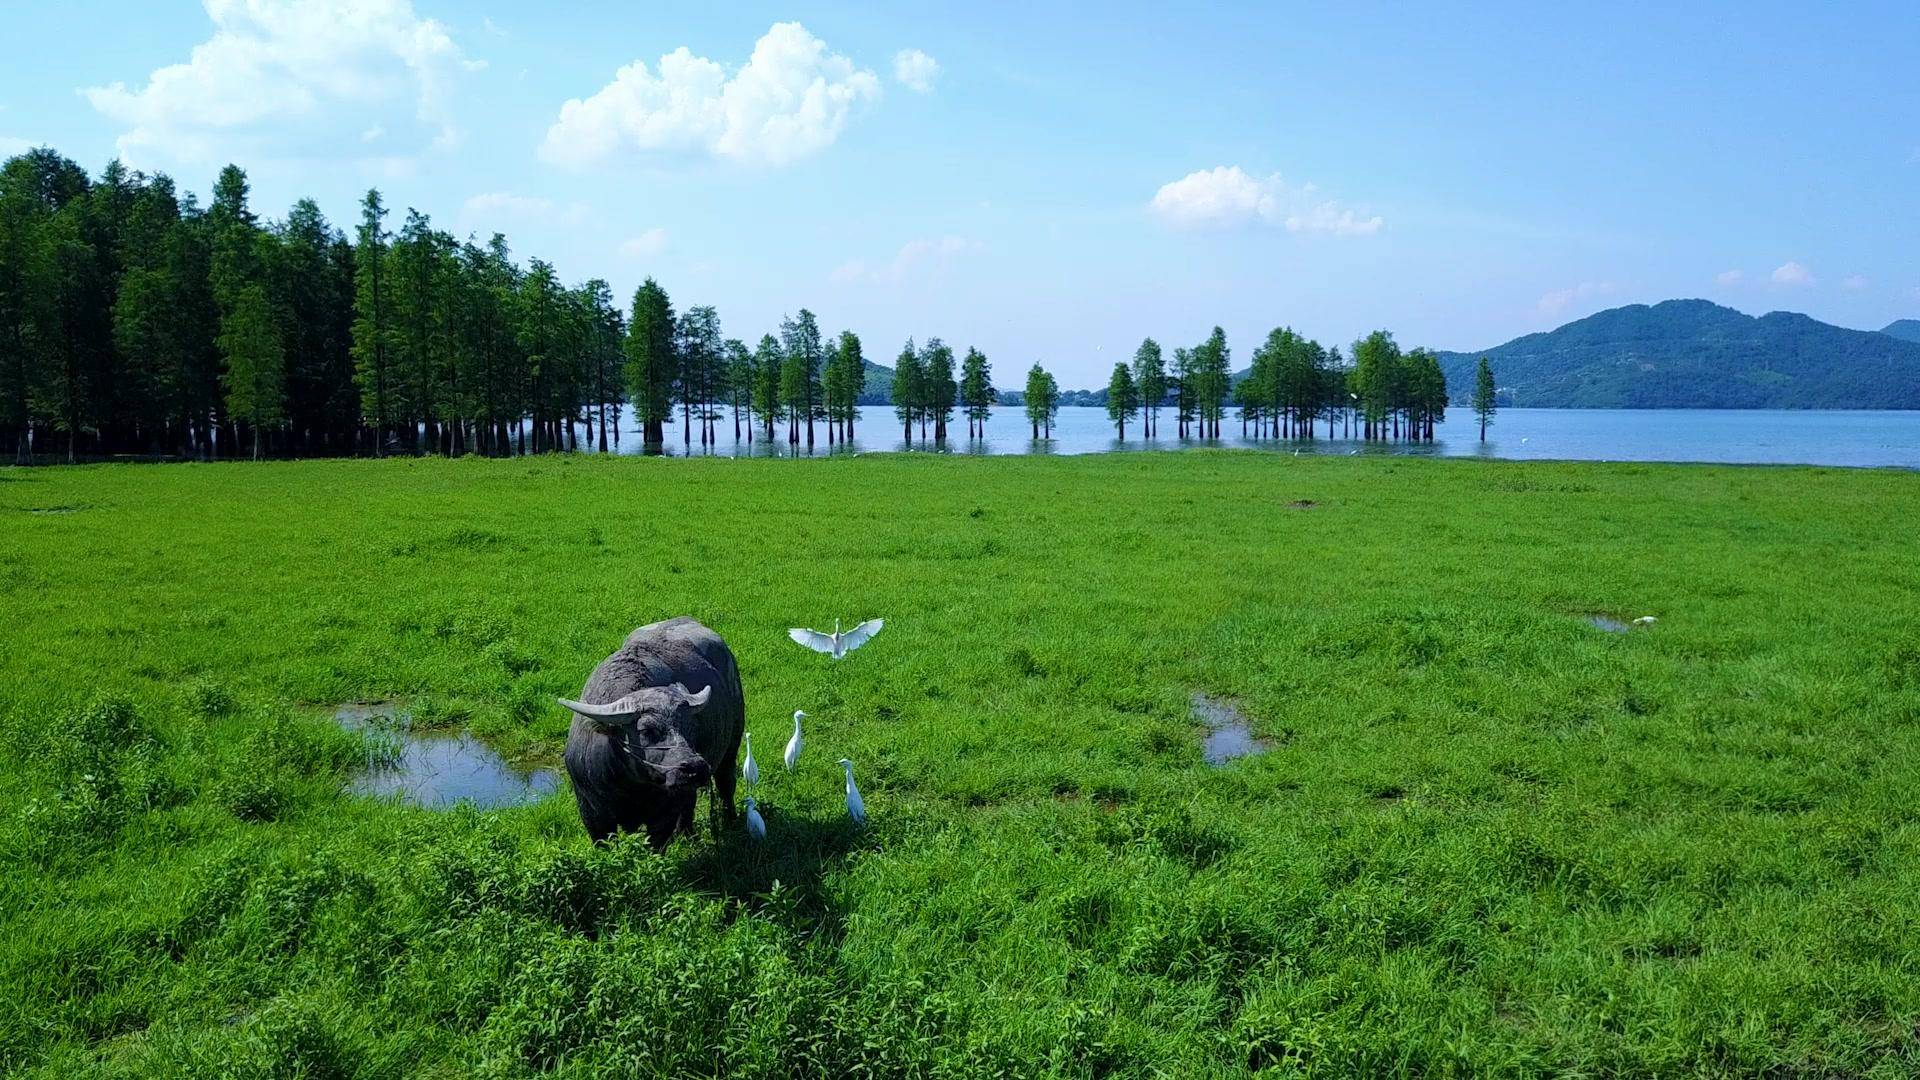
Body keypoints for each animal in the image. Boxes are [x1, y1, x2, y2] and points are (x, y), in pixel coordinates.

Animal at [560, 618, 744, 845]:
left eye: (690, 727)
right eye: (647, 730)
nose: (695, 767)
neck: (631, 785)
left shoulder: (663, 815)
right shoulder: (593, 814)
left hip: (731, 747)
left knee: (726, 785)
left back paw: (730, 821)